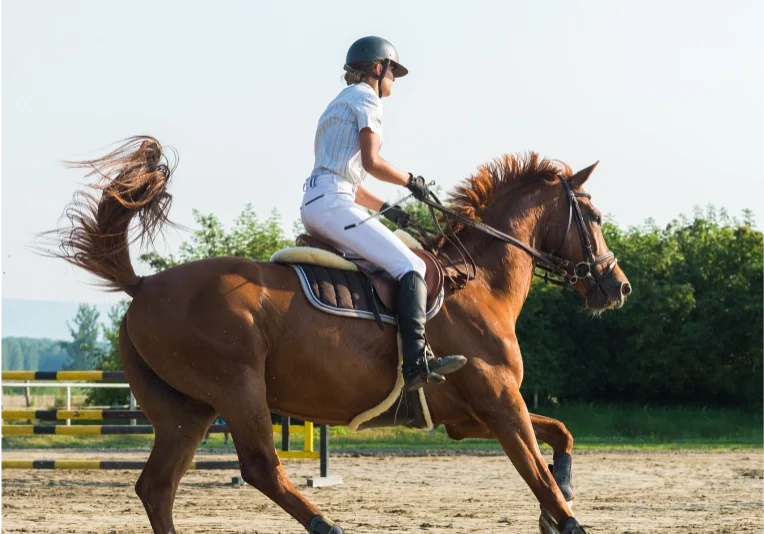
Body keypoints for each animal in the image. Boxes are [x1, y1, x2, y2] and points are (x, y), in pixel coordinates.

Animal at [49, 139, 632, 534]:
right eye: (595, 216)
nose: (617, 285)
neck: (479, 283)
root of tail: (144, 285)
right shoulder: (501, 405)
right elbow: (539, 471)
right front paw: (564, 516)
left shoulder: (472, 417)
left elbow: (560, 437)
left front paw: (560, 500)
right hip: (237, 392)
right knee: (262, 469)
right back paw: (327, 525)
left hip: (185, 411)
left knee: (157, 487)